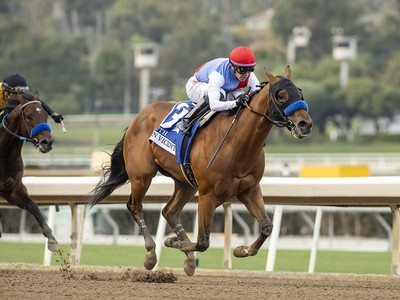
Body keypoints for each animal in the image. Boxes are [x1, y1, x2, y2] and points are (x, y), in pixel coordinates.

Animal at [0, 92, 59, 252]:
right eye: (27, 116)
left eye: (45, 114)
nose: (46, 143)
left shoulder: (13, 190)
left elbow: (33, 206)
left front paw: (52, 240)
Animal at [90, 67, 312, 276]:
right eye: (281, 95)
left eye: (300, 93)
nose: (305, 124)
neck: (237, 144)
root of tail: (139, 116)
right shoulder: (208, 194)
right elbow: (203, 241)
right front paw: (173, 242)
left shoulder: (249, 189)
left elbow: (267, 226)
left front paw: (241, 250)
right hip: (142, 176)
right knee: (135, 207)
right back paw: (151, 253)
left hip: (185, 182)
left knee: (169, 211)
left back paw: (188, 260)